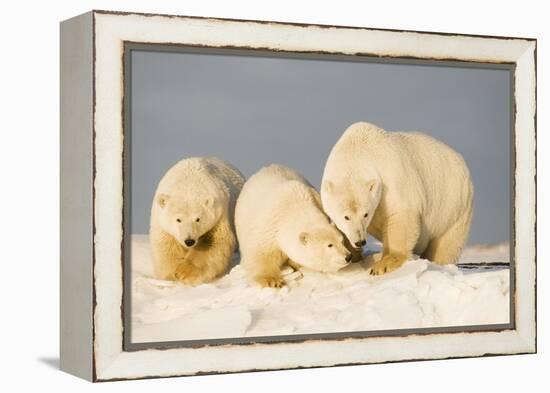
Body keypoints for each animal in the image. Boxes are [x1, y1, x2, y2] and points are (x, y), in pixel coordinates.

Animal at [324, 122, 474, 276]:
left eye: (366, 214)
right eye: (346, 217)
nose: (360, 241)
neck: (357, 151)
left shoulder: (391, 178)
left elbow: (401, 215)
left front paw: (384, 264)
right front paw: (351, 255)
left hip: (453, 207)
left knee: (446, 244)